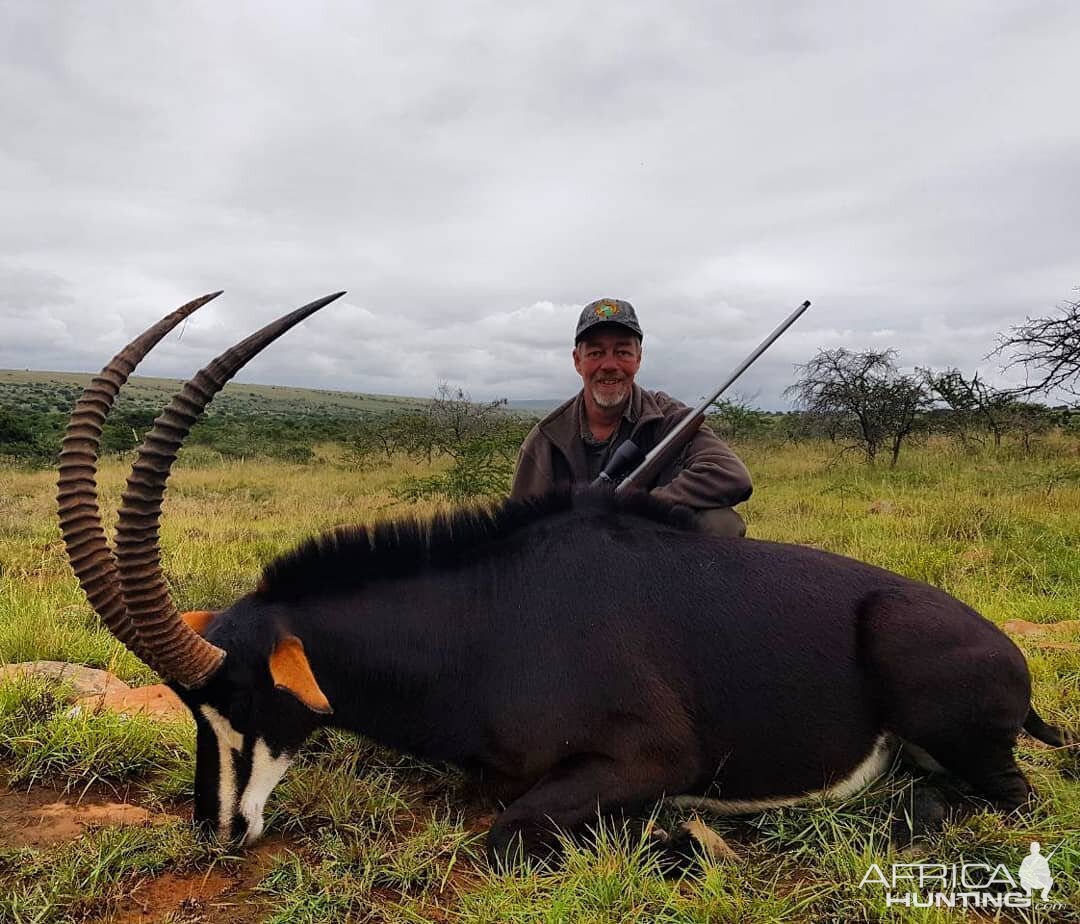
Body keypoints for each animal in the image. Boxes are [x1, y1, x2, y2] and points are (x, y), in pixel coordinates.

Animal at [59, 293, 1071, 867]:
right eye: (190, 709)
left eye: (241, 698)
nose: (217, 831)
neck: (483, 622)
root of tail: (1007, 654)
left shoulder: (655, 758)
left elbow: (508, 836)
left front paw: (680, 837)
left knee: (1001, 798)